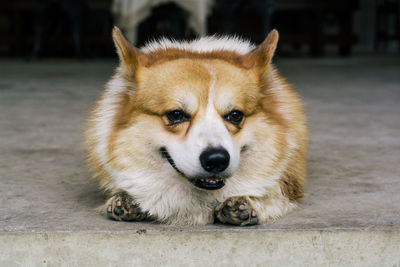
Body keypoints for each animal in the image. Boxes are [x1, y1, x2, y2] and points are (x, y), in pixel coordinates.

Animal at [86, 27, 308, 227]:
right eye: (176, 115)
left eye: (235, 115)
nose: (217, 160)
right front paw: (127, 199)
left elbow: (275, 195)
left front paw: (247, 203)